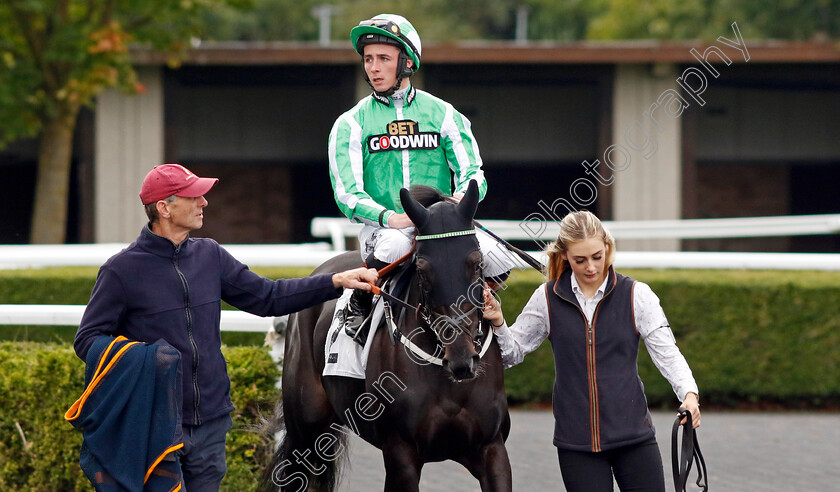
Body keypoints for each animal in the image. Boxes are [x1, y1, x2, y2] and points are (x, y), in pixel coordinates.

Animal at [260, 182, 512, 492]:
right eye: (422, 269)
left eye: (477, 263)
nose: (462, 360)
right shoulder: (401, 454)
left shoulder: (491, 449)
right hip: (305, 427)